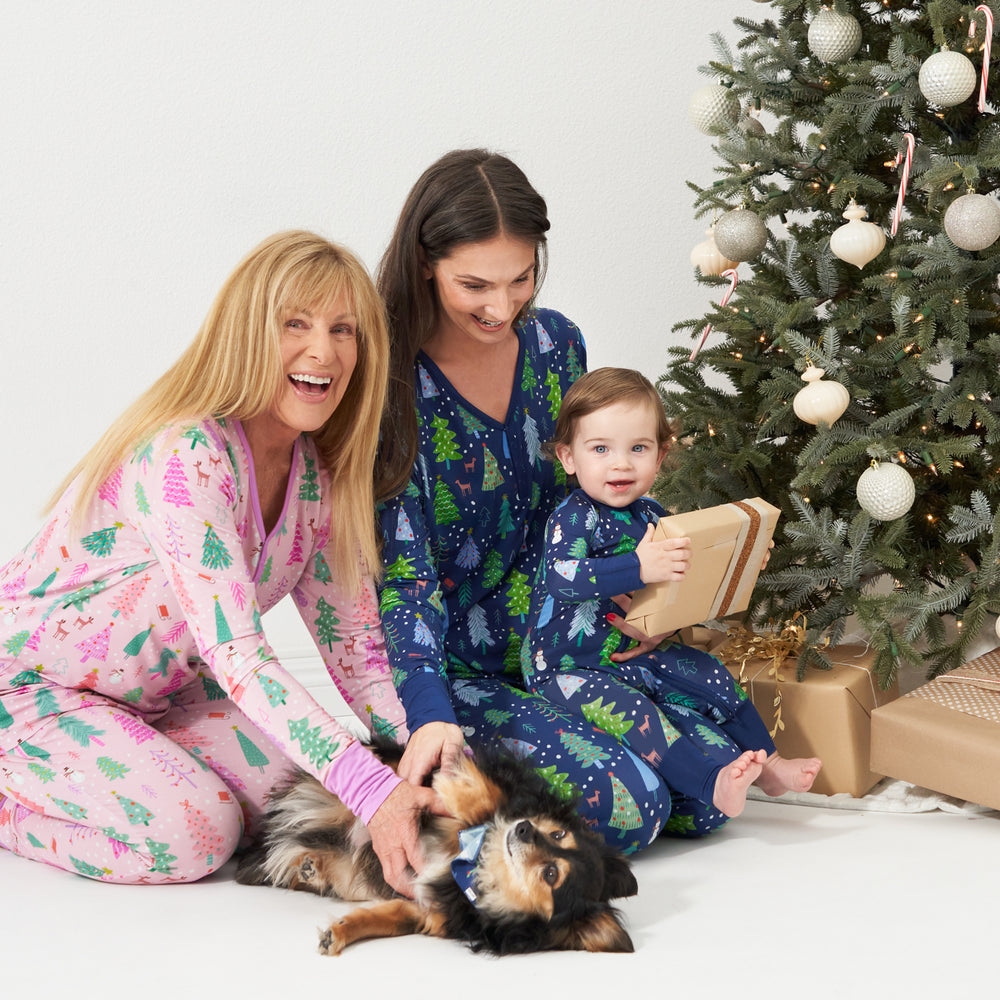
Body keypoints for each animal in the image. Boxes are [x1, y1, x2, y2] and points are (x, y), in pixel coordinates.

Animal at [238, 744, 636, 952]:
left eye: (551, 874)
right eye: (557, 834)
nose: (523, 829)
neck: (477, 866)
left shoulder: (425, 910)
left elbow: (386, 919)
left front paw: (340, 933)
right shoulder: (500, 795)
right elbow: (484, 799)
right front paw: (455, 780)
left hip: (351, 877)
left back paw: (310, 869)